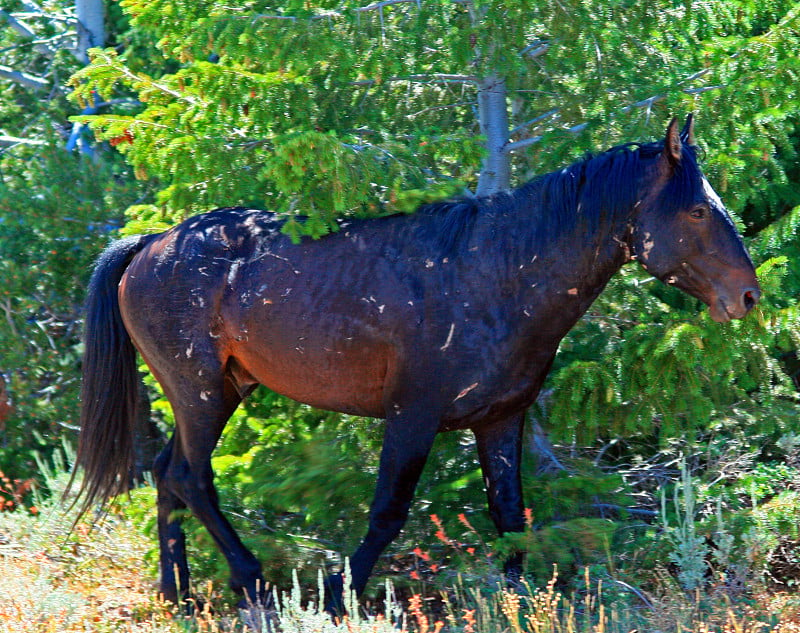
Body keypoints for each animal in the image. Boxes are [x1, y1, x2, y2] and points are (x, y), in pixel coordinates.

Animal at [70, 115, 764, 612]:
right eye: (697, 209)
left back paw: (178, 596)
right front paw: (338, 596)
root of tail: (150, 245)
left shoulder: (501, 419)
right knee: (191, 478)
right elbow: (387, 512)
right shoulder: (412, 416)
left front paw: (519, 601)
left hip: (217, 391)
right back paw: (251, 582)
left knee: (168, 475)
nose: (748, 297)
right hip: (201, 391)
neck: (495, 274)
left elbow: (510, 514)